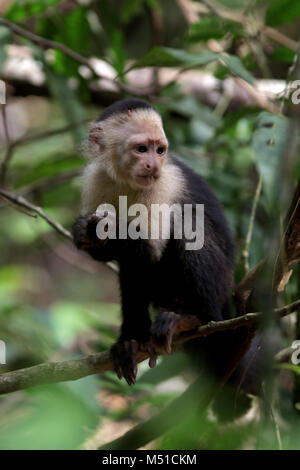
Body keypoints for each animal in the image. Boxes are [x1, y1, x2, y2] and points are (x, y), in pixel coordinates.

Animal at [72, 98, 246, 386]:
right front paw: (83, 231)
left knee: (189, 222)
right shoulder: (95, 179)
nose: (153, 165)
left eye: (160, 150)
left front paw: (107, 226)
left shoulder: (165, 184)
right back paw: (132, 340)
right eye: (142, 149)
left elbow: (152, 250)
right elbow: (114, 254)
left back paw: (195, 318)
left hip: (220, 288)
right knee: (131, 264)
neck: (126, 181)